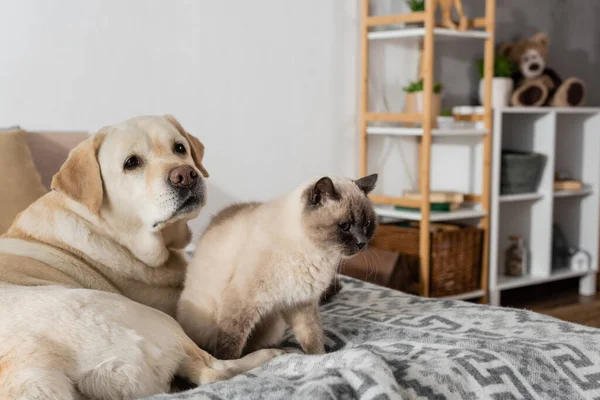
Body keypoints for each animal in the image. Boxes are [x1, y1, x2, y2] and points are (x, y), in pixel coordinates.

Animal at [0, 115, 282, 400]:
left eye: (180, 148)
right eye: (131, 163)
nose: (185, 175)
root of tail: (38, 370)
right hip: (156, 320)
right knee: (212, 369)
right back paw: (271, 353)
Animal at [176, 174, 378, 360]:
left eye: (367, 225)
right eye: (344, 226)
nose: (362, 243)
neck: (318, 254)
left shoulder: (301, 303)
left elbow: (312, 337)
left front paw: (319, 358)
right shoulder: (242, 302)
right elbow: (230, 345)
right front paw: (229, 363)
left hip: (272, 324)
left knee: (254, 345)